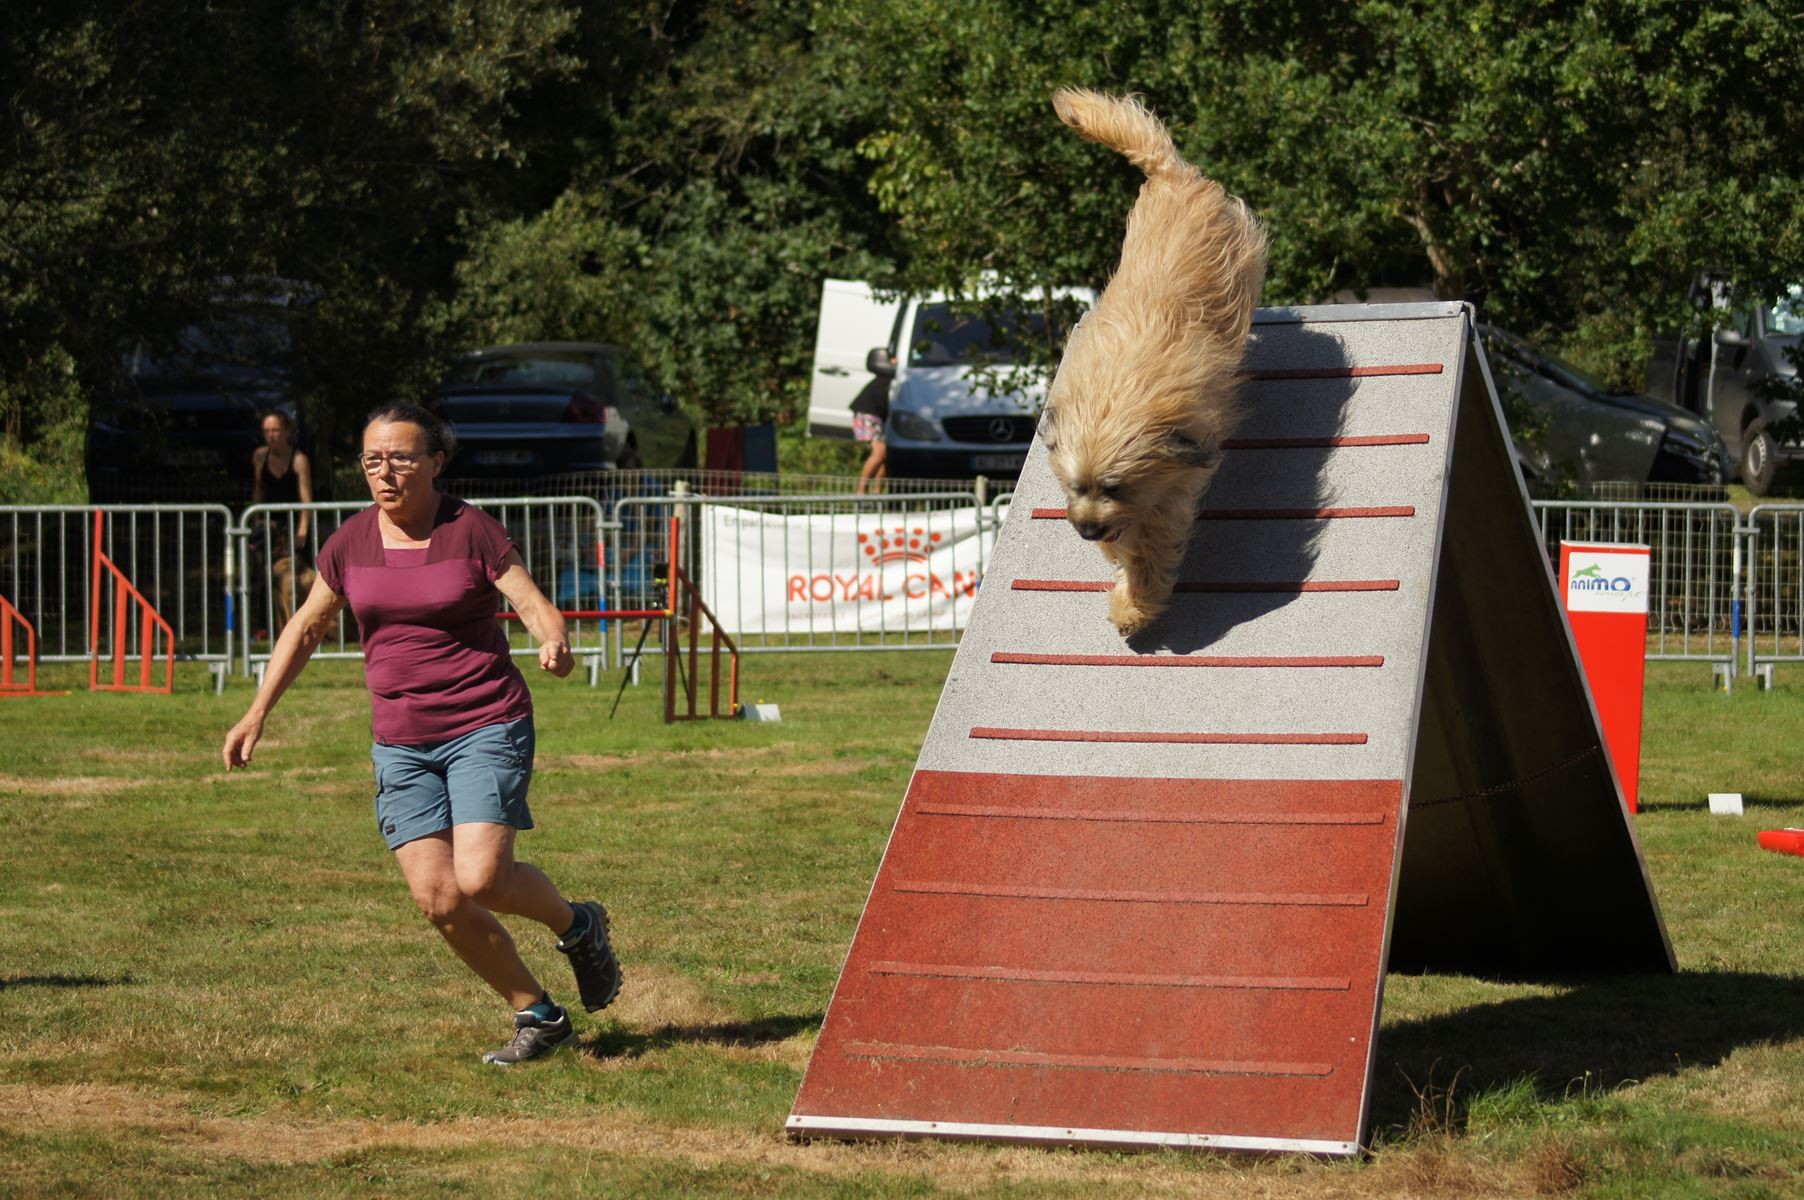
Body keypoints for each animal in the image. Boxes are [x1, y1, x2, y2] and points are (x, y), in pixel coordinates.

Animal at [1046, 86, 1270, 635]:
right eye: (1075, 486)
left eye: (1115, 487)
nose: (1087, 531)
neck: (1115, 392)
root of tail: (1171, 175)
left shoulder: (1176, 477)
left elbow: (1151, 545)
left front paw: (1135, 606)